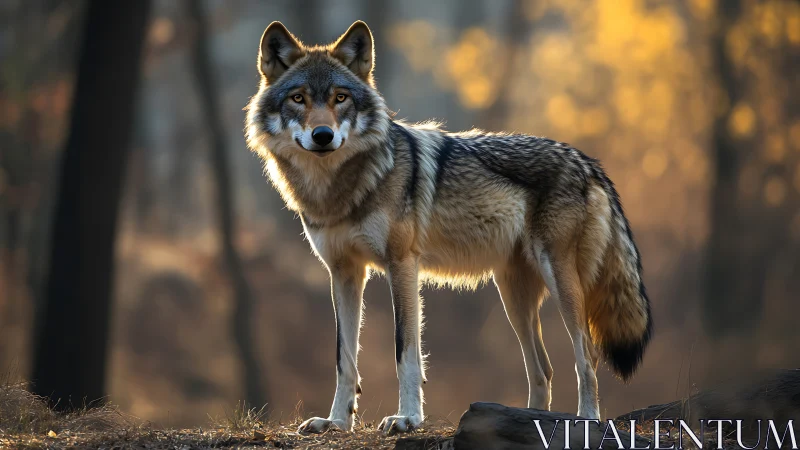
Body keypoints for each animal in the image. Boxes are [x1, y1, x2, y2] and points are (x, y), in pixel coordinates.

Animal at [245, 20, 652, 434]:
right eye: (298, 99)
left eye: (340, 97)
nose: (323, 136)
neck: (339, 189)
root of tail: (587, 161)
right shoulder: (344, 272)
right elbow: (344, 358)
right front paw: (337, 422)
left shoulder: (402, 265)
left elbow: (405, 351)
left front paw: (408, 417)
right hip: (512, 296)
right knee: (543, 370)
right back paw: (528, 421)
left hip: (558, 281)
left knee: (587, 356)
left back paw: (586, 420)